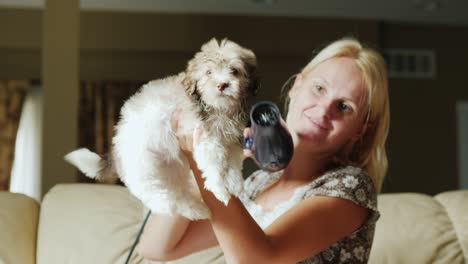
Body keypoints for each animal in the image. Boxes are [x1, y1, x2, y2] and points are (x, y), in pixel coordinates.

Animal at [64, 38, 258, 221]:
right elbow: (214, 164)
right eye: (208, 72)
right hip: (145, 171)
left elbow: (233, 163)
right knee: (165, 199)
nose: (222, 85)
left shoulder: (231, 140)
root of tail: (116, 151)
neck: (217, 108)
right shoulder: (204, 138)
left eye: (235, 71)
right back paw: (190, 209)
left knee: (178, 191)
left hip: (172, 171)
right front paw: (220, 190)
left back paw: (197, 209)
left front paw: (235, 185)